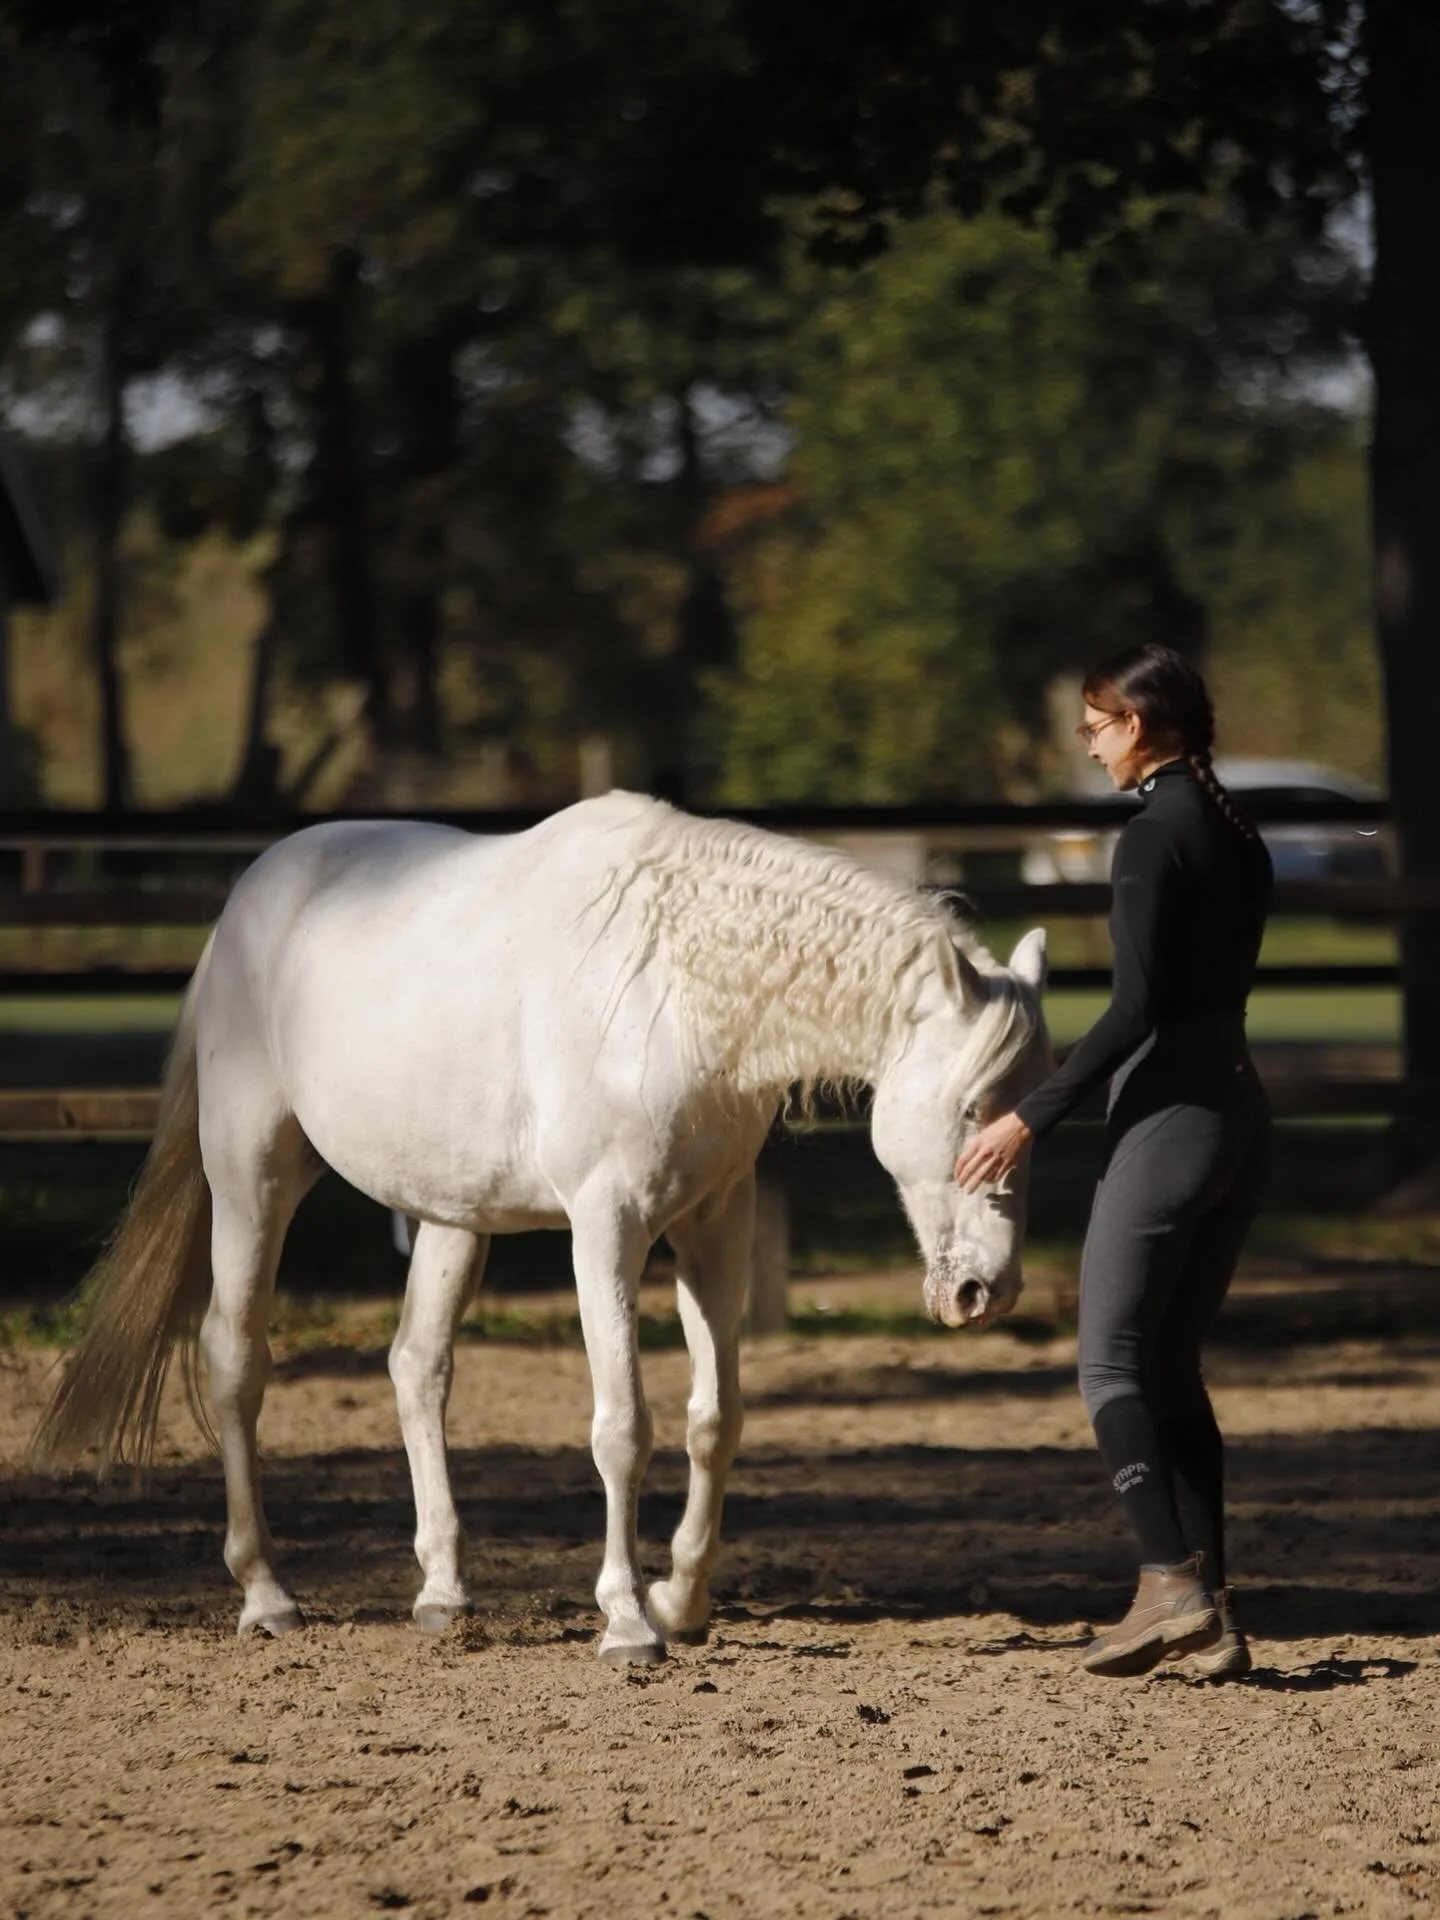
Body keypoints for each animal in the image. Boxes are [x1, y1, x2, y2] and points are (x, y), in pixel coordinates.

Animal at [32, 791, 1051, 1664]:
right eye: (970, 1108)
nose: (986, 1290)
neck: (672, 988)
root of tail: (251, 896)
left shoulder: (714, 1226)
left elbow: (715, 1419)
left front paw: (683, 1600)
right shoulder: (607, 1228)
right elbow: (623, 1427)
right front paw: (629, 1622)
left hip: (448, 1214)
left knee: (416, 1366)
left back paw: (444, 1593)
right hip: (253, 1176)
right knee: (235, 1361)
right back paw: (266, 1595)